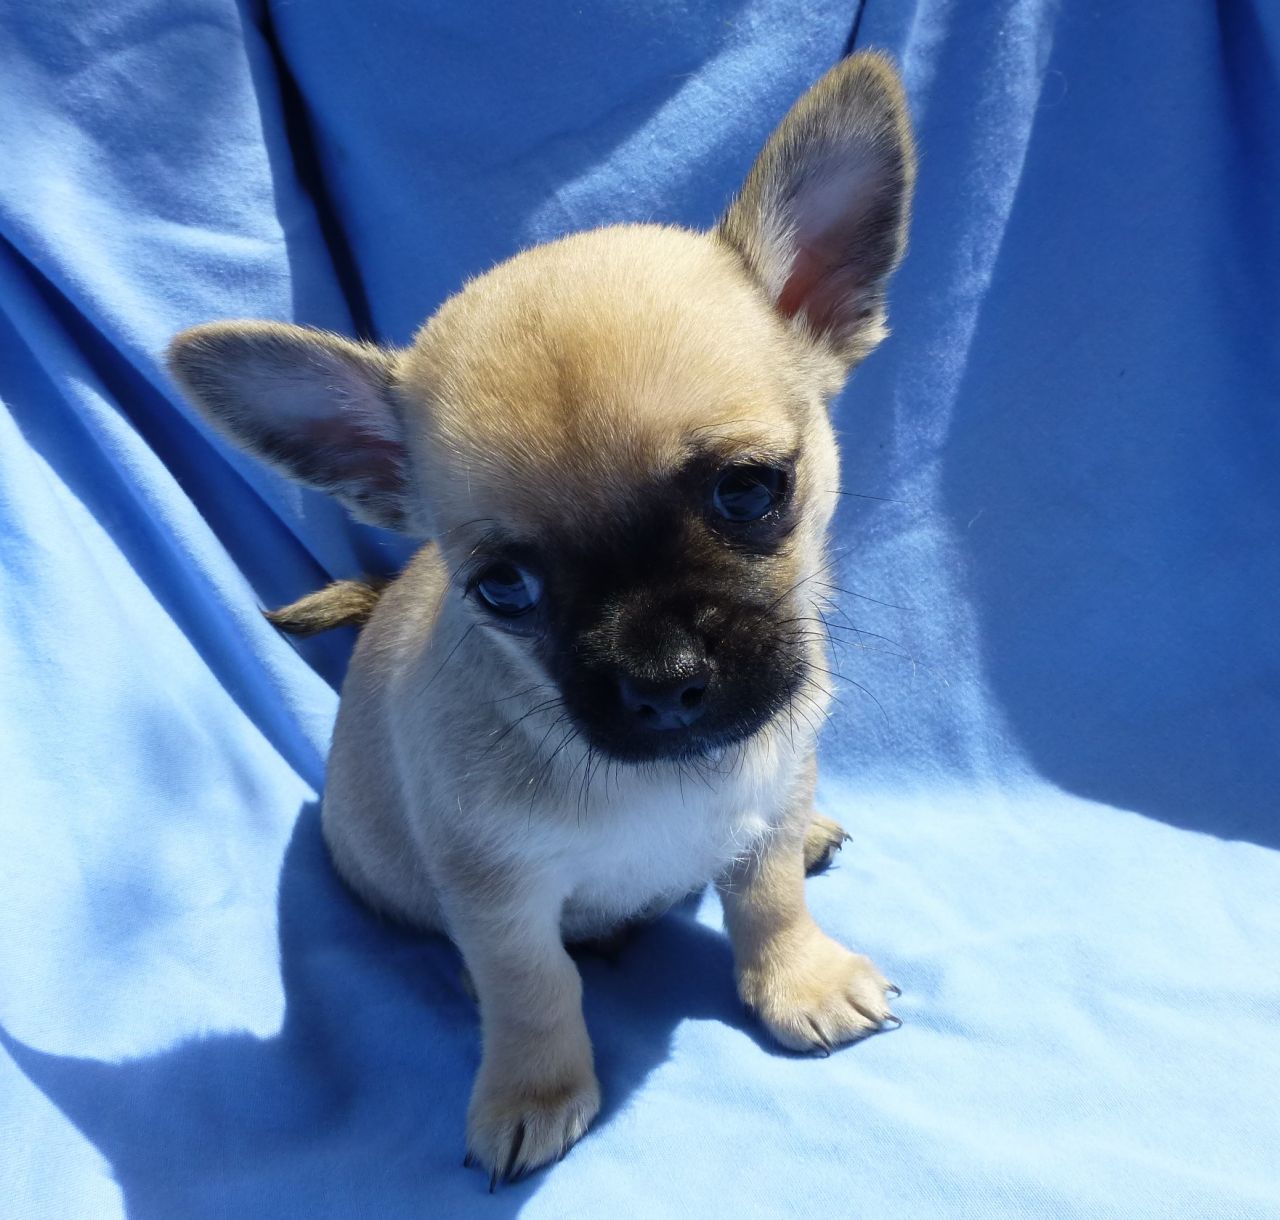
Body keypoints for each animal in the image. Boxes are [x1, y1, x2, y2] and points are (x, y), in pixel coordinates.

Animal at [170, 52, 916, 1182]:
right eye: (501, 588)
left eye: (749, 492)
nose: (662, 677)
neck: (671, 785)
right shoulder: (499, 897)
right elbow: (531, 988)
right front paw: (535, 1088)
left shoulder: (771, 787)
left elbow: (769, 895)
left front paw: (799, 977)